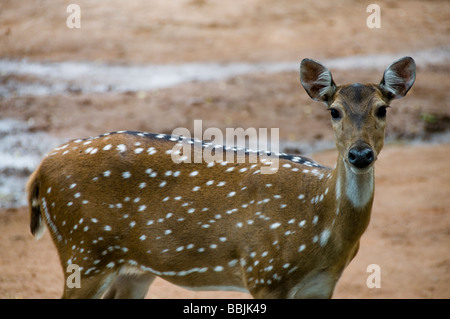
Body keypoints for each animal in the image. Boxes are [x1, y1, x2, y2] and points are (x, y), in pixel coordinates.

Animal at [27, 56, 414, 298]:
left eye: (382, 109)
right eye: (333, 111)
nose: (360, 155)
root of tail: (38, 172)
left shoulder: (323, 286)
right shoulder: (264, 272)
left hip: (131, 270)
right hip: (82, 251)